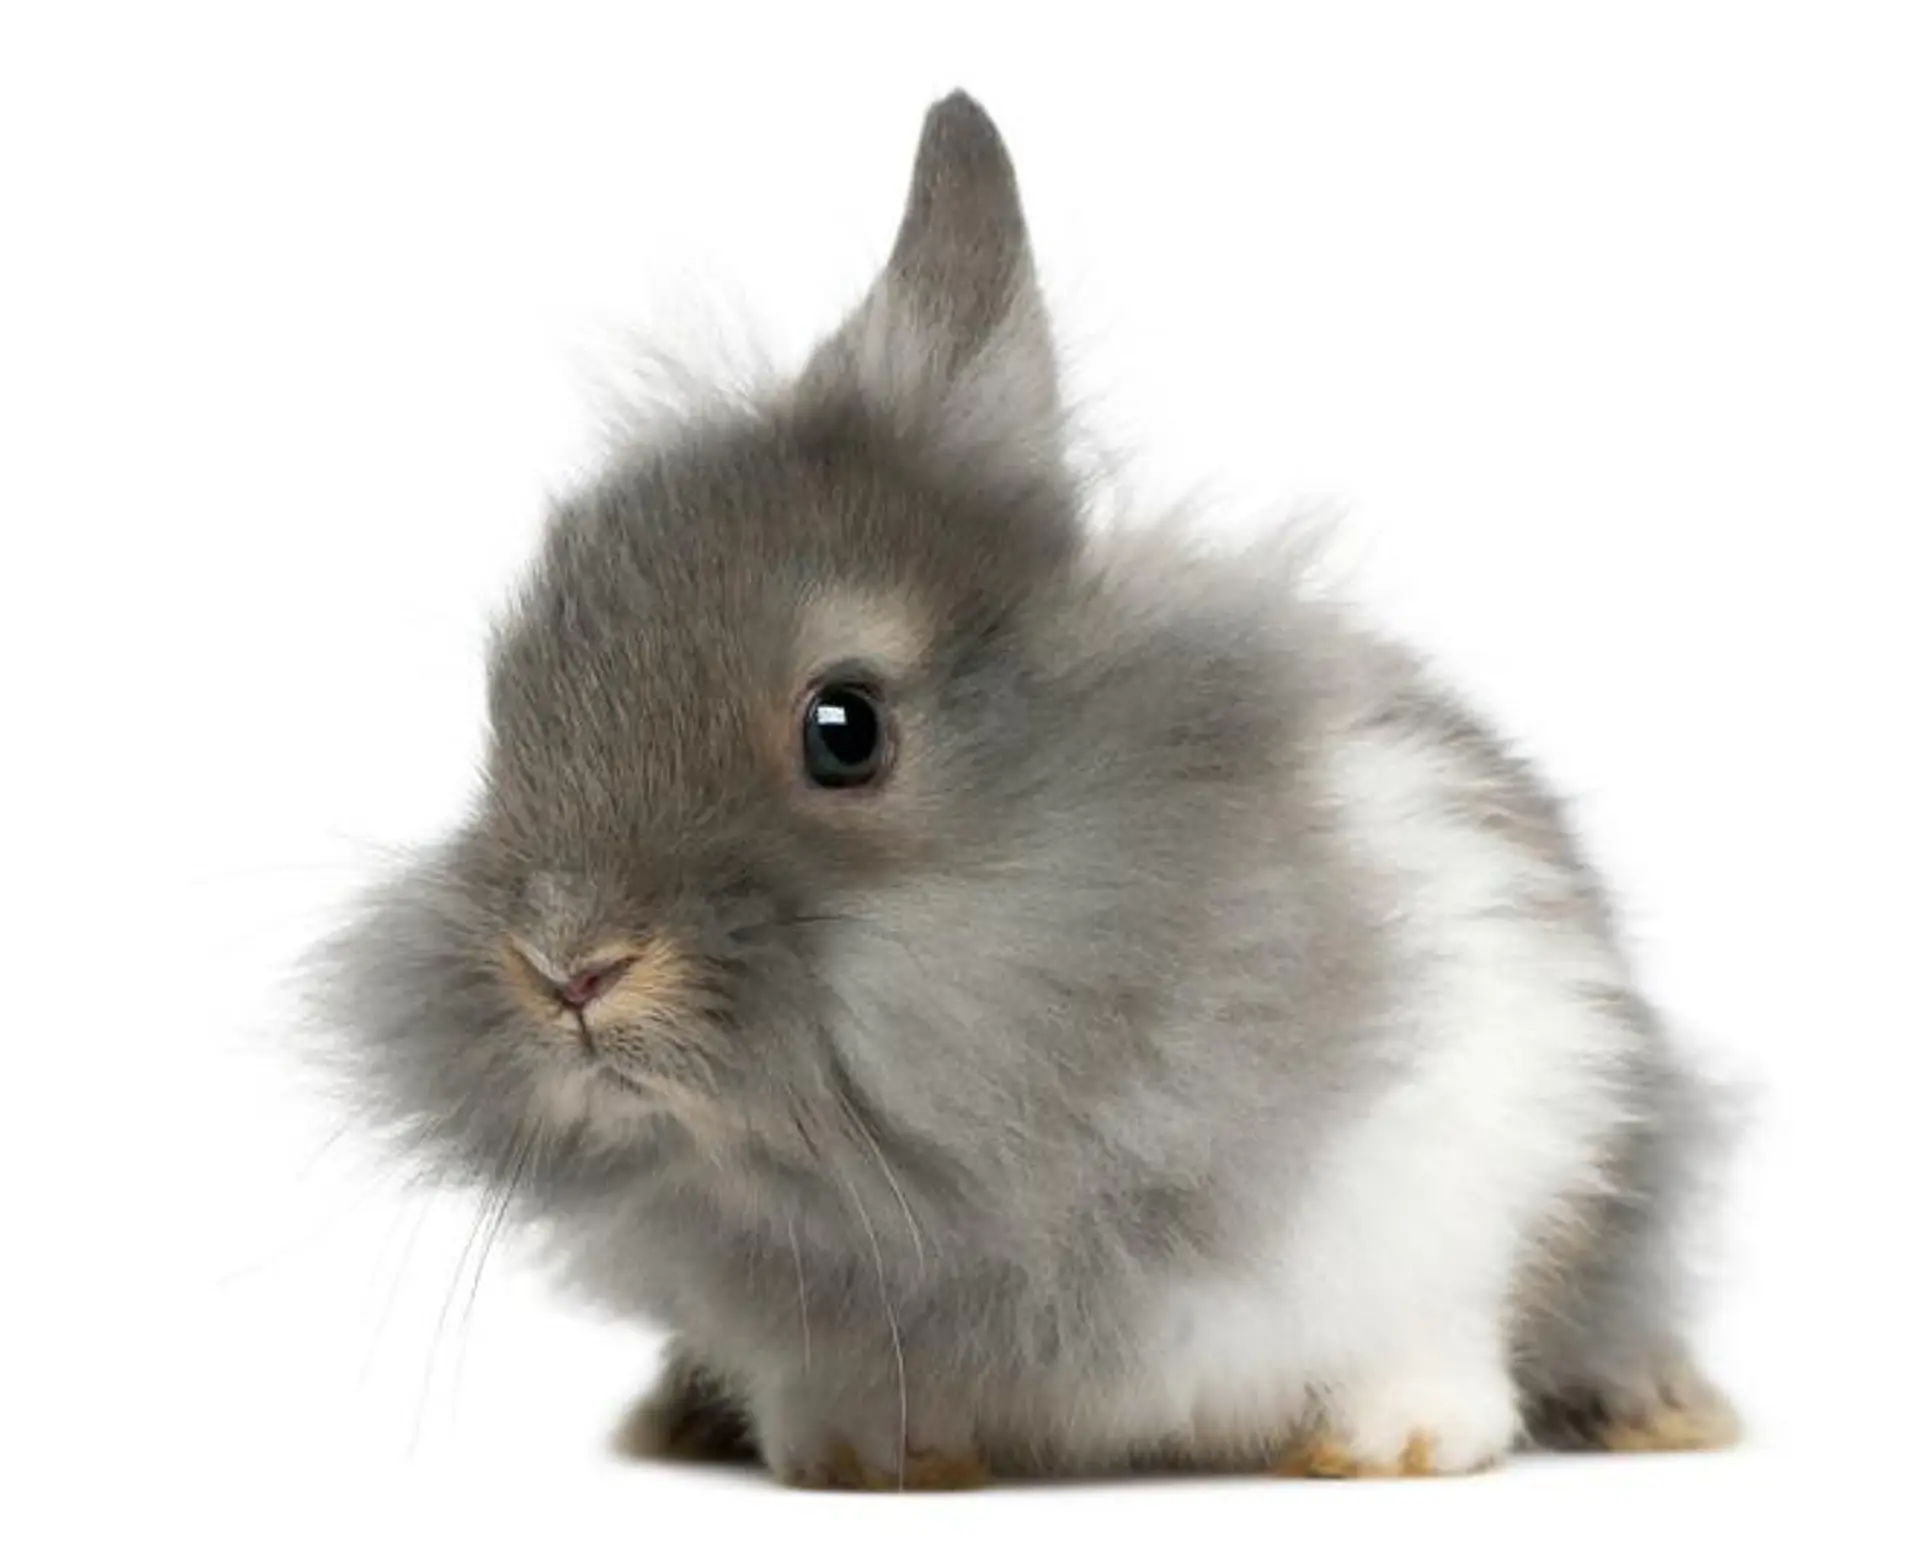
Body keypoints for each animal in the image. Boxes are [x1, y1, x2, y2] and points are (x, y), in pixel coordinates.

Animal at [312, 92, 1738, 1487]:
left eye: (845, 728)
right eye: (506, 707)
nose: (569, 967)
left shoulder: (1493, 1117)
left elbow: (1435, 1332)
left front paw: (1400, 1445)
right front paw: (859, 1457)